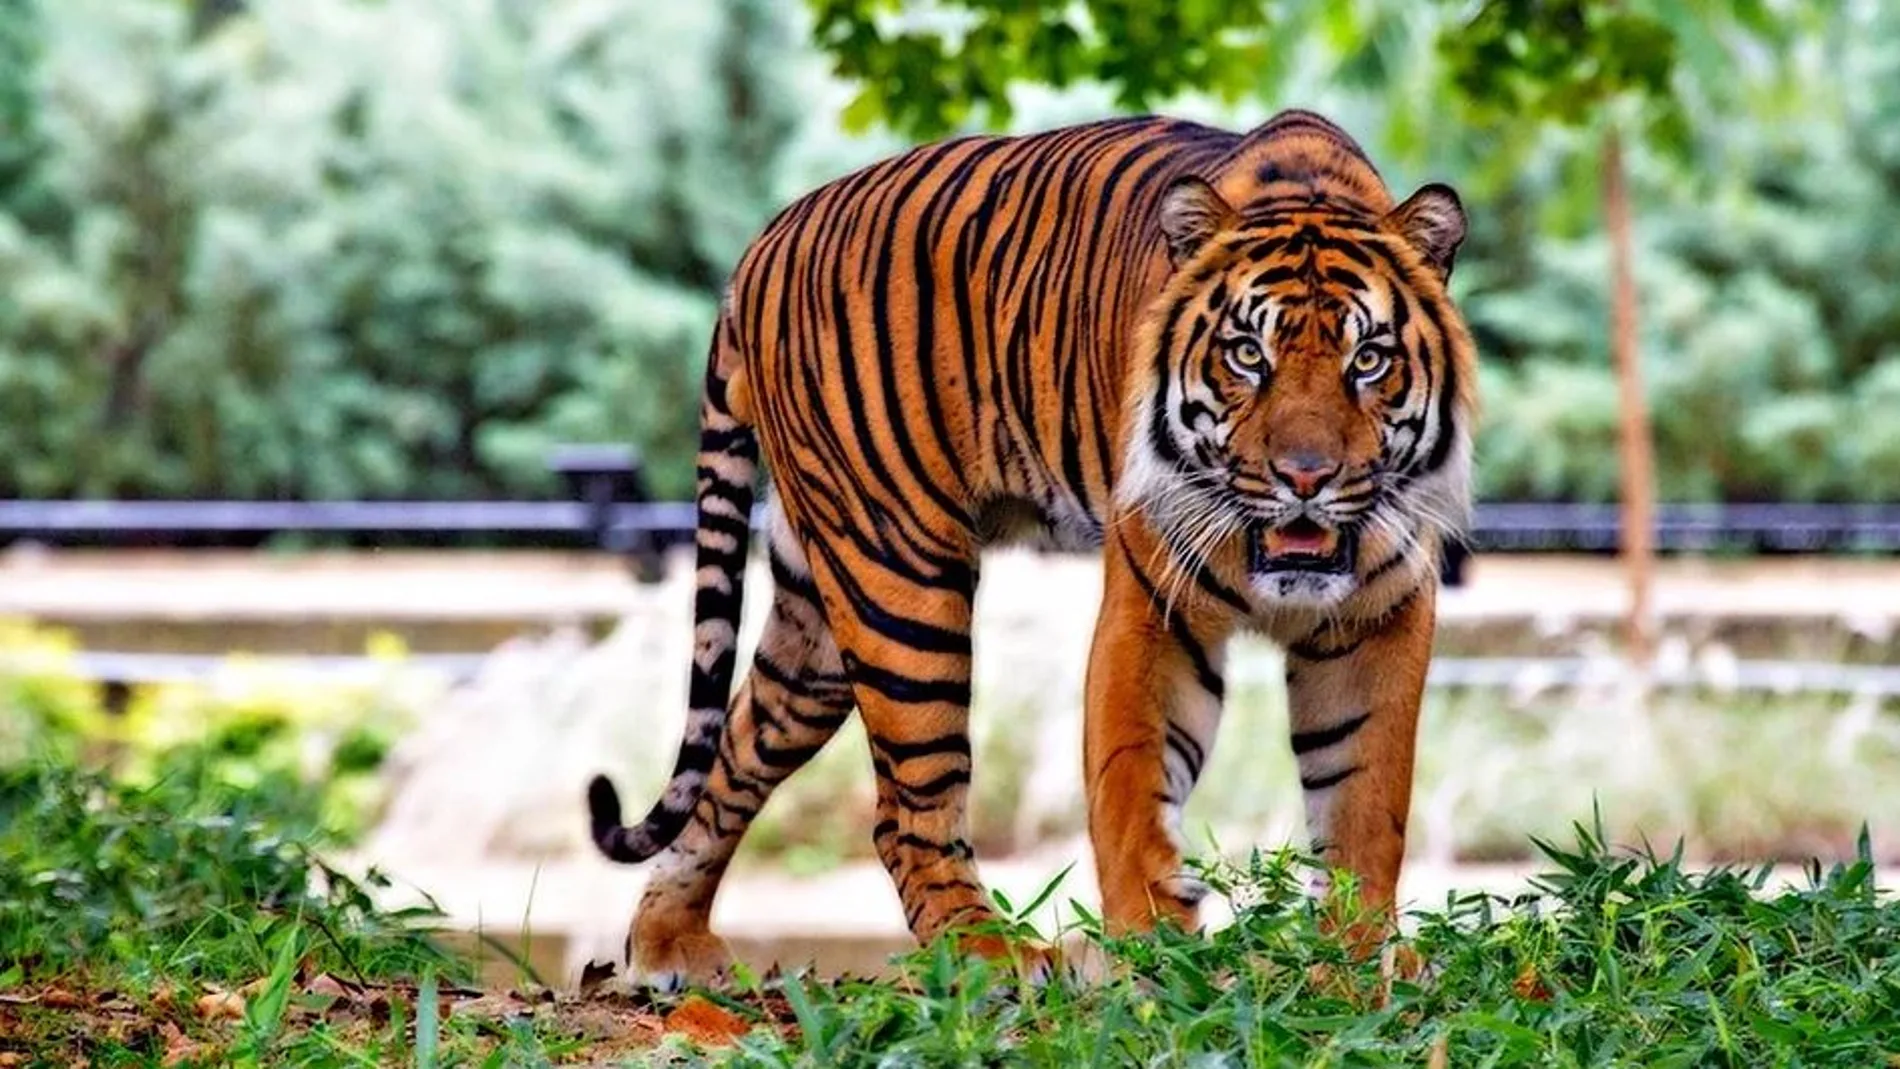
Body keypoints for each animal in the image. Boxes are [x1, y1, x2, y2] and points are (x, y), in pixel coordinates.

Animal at [586, 108, 1477, 988]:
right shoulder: (1152, 608)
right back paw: (993, 955)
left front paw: (1352, 961)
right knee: (905, 810)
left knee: (736, 751)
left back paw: (668, 942)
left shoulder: (1380, 617)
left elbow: (1365, 802)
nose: (1305, 477)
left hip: (819, 623)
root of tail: (763, 242)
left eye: (1369, 359)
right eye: (1247, 355)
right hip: (900, 580)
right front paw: (1156, 959)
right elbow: (1133, 786)